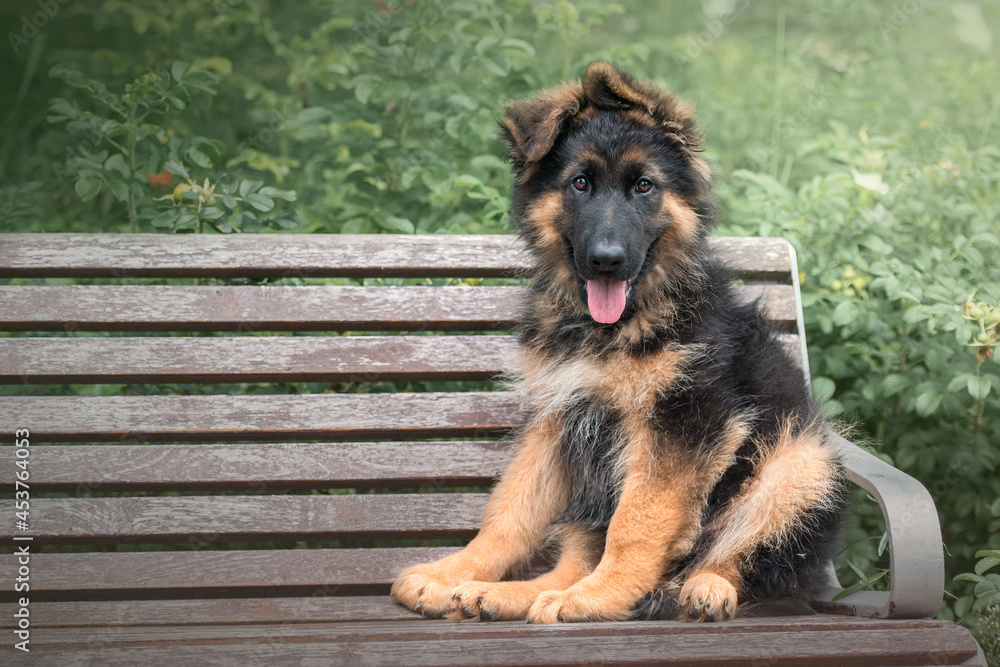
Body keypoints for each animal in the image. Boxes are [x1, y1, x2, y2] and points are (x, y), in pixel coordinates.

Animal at [390, 62, 844, 628]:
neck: (615, 326)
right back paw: (509, 595)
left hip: (799, 464)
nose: (607, 260)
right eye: (580, 183)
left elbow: (635, 523)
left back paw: (702, 588)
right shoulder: (558, 416)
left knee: (745, 558)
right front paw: (454, 572)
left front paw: (601, 597)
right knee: (575, 558)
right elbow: (509, 510)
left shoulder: (684, 420)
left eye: (645, 186)